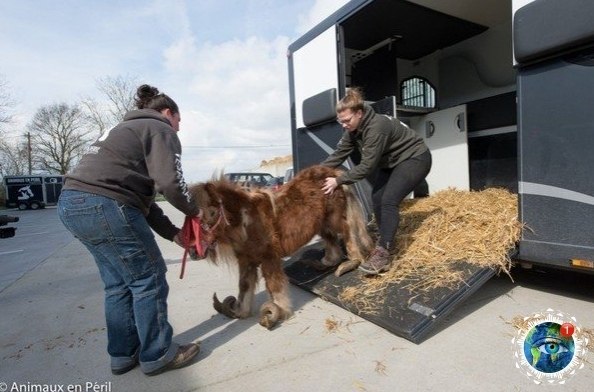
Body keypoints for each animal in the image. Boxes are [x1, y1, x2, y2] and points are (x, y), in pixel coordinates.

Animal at [187, 164, 370, 330]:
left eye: (211, 212)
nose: (193, 252)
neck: (248, 222)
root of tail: (332, 173)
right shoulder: (247, 261)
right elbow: (244, 286)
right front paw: (241, 312)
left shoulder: (270, 259)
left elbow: (275, 287)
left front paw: (276, 313)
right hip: (322, 223)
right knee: (331, 240)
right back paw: (327, 262)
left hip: (335, 218)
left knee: (348, 233)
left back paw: (350, 263)